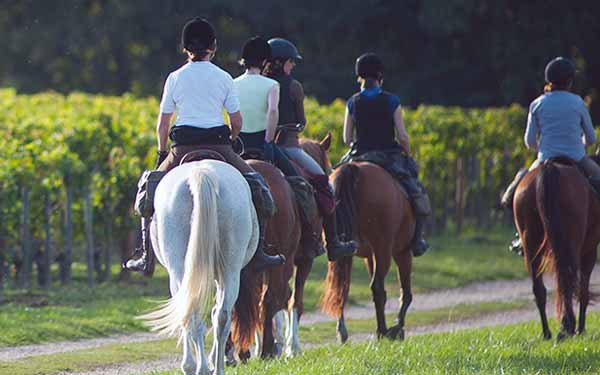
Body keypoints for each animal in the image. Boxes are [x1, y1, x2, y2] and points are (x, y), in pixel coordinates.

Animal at [145, 161, 260, 375]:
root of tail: (200, 174)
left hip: (182, 270)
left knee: (195, 311)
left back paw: (196, 367)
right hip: (230, 271)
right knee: (219, 314)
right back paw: (208, 367)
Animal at [308, 139, 414, 344]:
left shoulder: (366, 255)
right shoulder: (402, 251)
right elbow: (405, 292)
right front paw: (398, 327)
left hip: (346, 248)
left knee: (340, 286)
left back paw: (343, 331)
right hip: (385, 249)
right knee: (377, 287)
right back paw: (383, 331)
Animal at [510, 159, 600, 340]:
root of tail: (549, 168)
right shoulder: (589, 251)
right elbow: (583, 291)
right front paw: (581, 329)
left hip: (531, 243)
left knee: (540, 289)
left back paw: (547, 332)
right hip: (572, 243)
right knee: (568, 280)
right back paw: (568, 326)